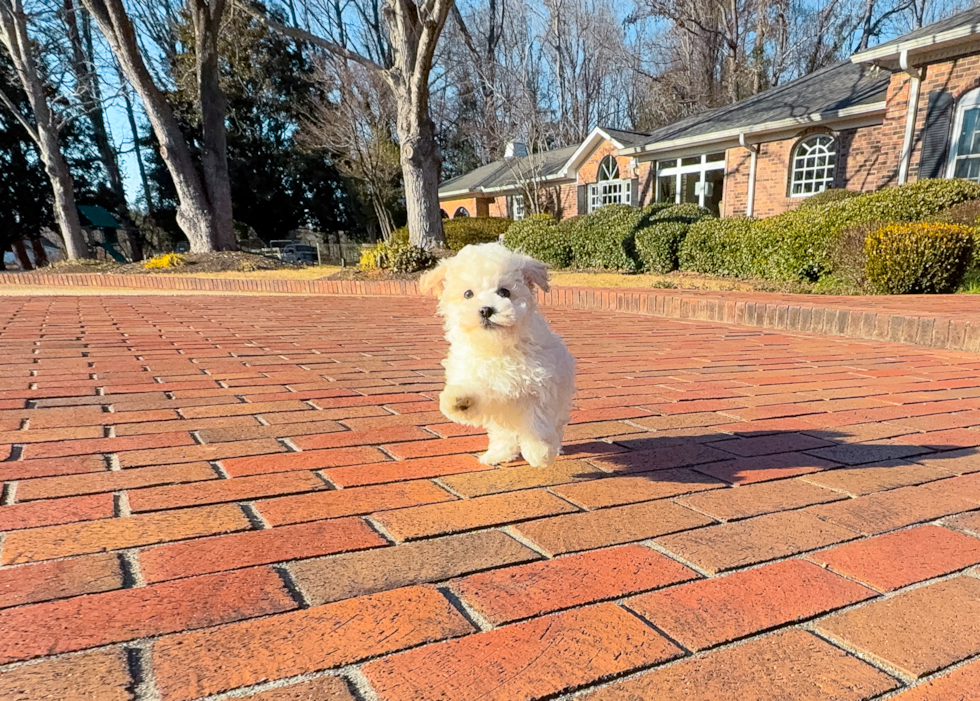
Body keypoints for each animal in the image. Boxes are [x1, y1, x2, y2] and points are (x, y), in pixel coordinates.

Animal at [420, 243, 576, 468]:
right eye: (468, 293)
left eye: (504, 292)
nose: (486, 309)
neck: (497, 345)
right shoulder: (481, 380)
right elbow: (473, 392)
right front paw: (458, 400)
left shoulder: (539, 387)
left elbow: (537, 423)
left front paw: (540, 453)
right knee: (504, 435)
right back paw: (497, 454)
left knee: (553, 427)